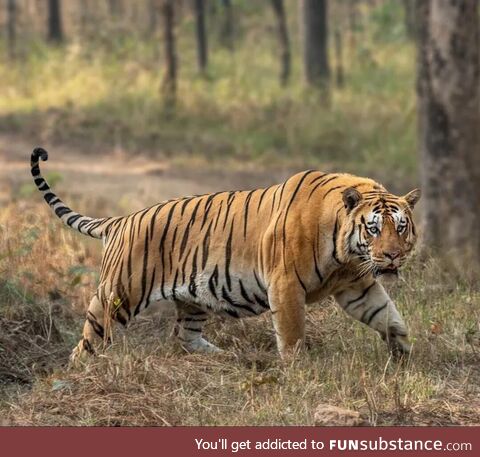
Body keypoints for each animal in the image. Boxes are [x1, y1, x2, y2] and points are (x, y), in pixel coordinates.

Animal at [30, 148, 420, 362]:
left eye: (400, 227)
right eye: (373, 229)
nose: (391, 256)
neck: (347, 253)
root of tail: (122, 220)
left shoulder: (356, 286)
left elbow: (389, 317)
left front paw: (404, 355)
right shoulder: (286, 285)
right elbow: (292, 333)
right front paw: (298, 368)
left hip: (192, 298)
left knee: (184, 338)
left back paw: (226, 356)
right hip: (117, 295)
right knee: (86, 345)